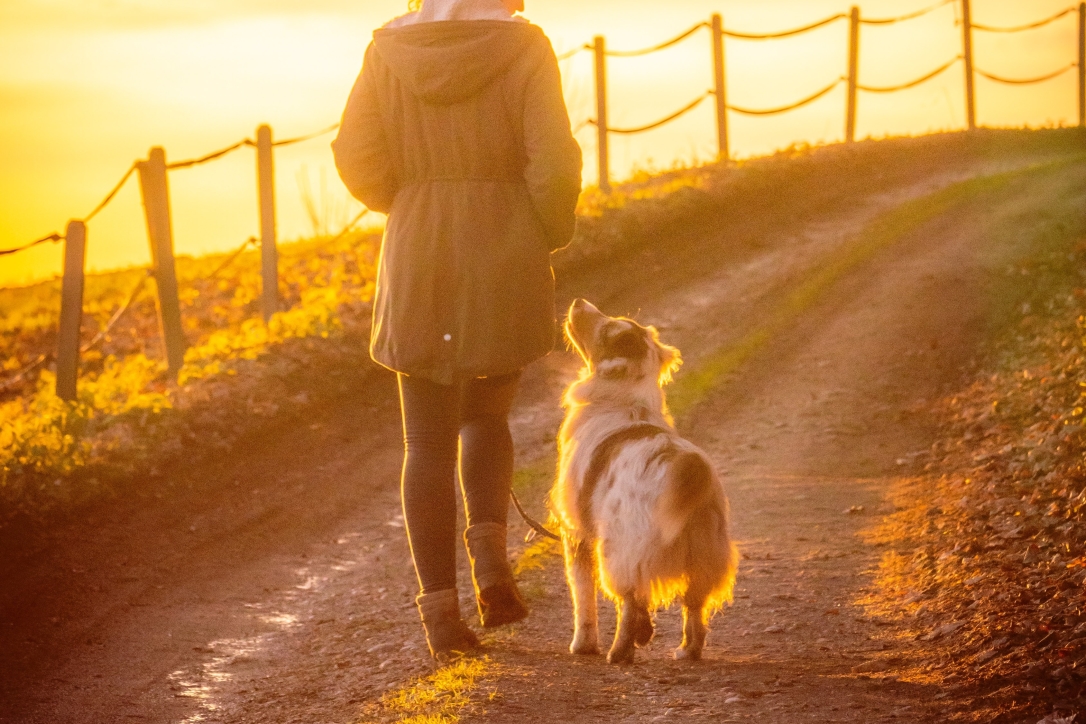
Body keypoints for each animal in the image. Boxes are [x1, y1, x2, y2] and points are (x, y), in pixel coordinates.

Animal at [551, 297, 738, 664]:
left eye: (607, 329)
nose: (578, 301)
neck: (625, 399)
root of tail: (686, 464)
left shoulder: (576, 533)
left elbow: (583, 594)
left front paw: (583, 644)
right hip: (705, 557)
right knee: (694, 607)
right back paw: (685, 650)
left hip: (618, 551)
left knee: (629, 600)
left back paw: (620, 651)